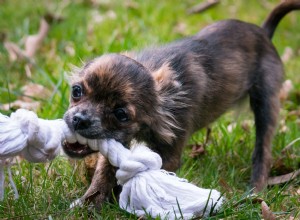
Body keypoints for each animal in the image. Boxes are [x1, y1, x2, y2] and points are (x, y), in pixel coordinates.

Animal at [62, 0, 300, 208]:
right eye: (76, 91)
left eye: (121, 114)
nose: (80, 120)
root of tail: (264, 33)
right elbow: (104, 172)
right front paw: (89, 203)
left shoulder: (170, 154)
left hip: (266, 103)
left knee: (263, 150)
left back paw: (255, 190)